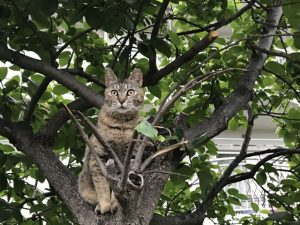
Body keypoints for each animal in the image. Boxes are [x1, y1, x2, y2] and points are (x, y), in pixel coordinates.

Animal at [77, 68, 143, 214]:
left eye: (130, 92)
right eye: (114, 92)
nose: (122, 100)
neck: (121, 125)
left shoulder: (128, 157)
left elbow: (118, 186)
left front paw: (114, 204)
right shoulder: (98, 157)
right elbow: (102, 184)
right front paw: (105, 204)